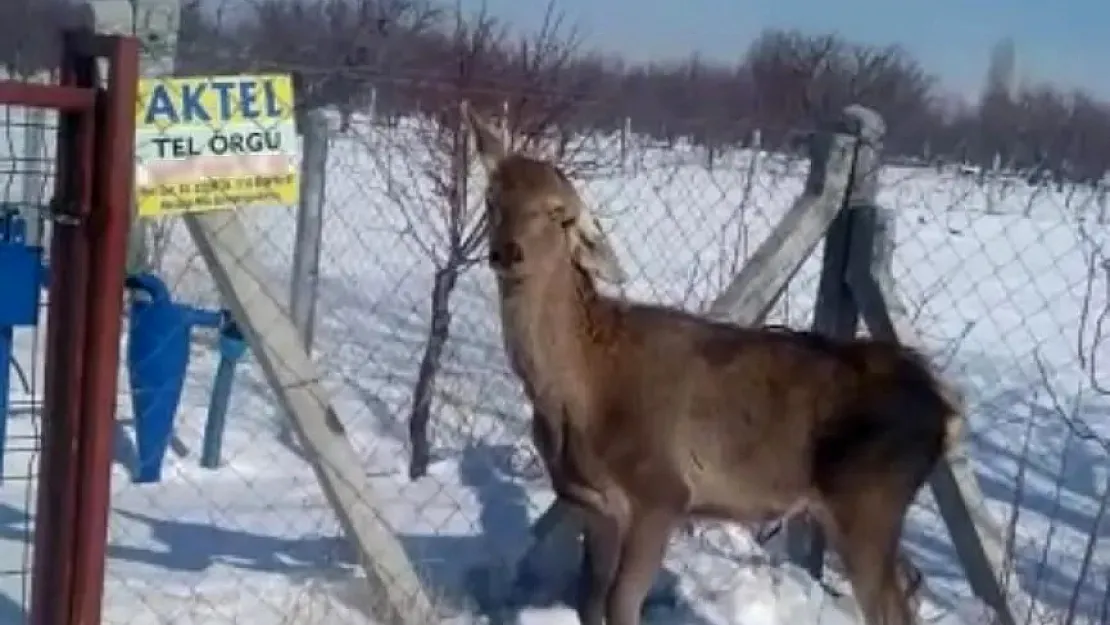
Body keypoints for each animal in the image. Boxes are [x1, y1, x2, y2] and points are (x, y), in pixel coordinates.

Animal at [463, 103, 967, 625]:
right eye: (492, 198)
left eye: (559, 214)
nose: (508, 252)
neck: (581, 395)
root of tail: (946, 412)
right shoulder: (593, 504)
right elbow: (589, 600)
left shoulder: (662, 493)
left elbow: (622, 604)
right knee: (911, 579)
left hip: (868, 500)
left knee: (891, 605)